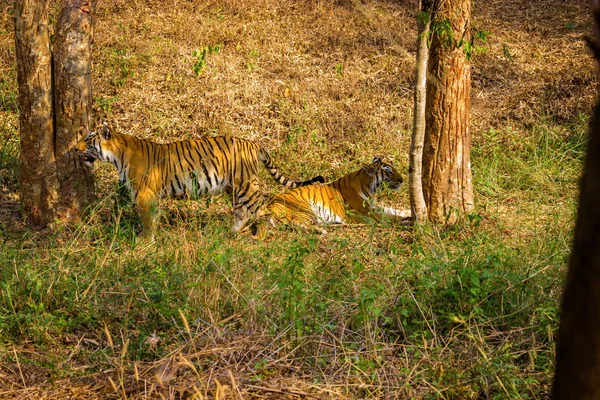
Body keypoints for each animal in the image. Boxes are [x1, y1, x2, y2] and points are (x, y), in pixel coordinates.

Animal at [78, 123, 328, 239]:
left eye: (88, 140)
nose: (74, 148)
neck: (117, 154)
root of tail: (255, 143)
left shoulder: (144, 193)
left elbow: (147, 218)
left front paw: (144, 239)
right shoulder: (151, 195)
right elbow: (154, 216)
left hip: (246, 186)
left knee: (263, 210)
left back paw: (259, 236)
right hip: (233, 188)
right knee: (243, 212)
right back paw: (231, 233)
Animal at [264, 155, 410, 231]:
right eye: (389, 172)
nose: (402, 180)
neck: (370, 188)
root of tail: (268, 206)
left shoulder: (372, 207)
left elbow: (392, 209)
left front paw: (409, 212)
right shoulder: (363, 213)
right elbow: (388, 216)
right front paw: (406, 220)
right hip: (305, 209)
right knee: (298, 223)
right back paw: (323, 229)